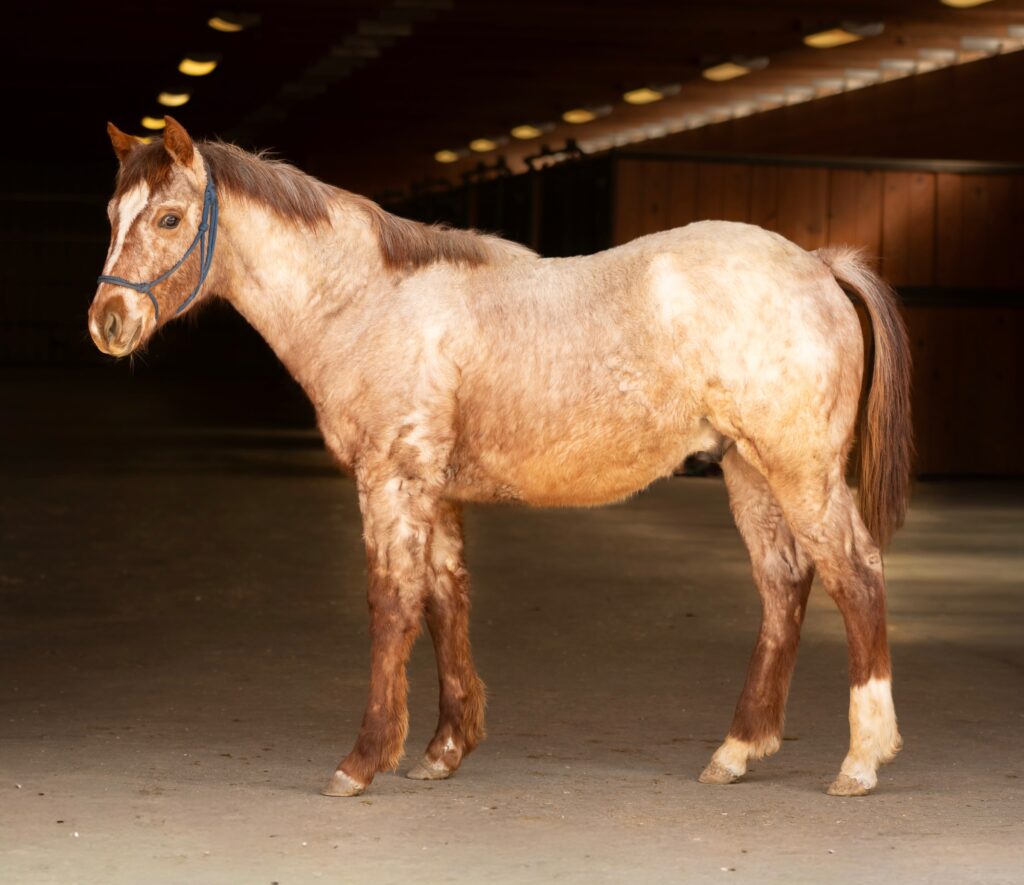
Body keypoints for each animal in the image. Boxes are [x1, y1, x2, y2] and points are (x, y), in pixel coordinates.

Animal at [89, 116, 912, 799]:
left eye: (168, 218)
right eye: (111, 217)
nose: (108, 322)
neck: (366, 300)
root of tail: (818, 263)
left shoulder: (390, 481)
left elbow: (392, 604)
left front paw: (362, 760)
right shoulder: (436, 492)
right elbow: (445, 600)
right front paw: (443, 750)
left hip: (800, 470)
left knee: (857, 576)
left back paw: (860, 761)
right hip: (748, 471)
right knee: (785, 585)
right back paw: (736, 751)